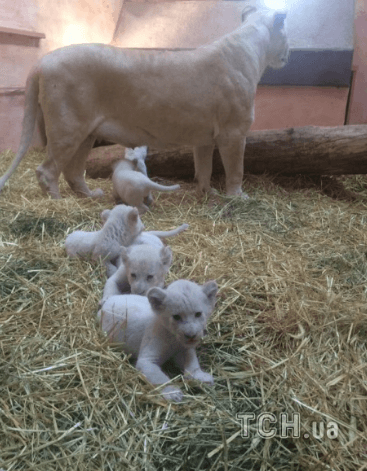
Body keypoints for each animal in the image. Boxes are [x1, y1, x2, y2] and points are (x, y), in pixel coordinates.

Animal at [0, 7, 288, 199]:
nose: (288, 54)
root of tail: (42, 61)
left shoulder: (204, 138)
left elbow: (204, 168)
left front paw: (208, 194)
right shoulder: (234, 132)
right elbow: (236, 169)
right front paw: (238, 198)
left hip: (86, 133)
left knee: (73, 172)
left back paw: (91, 195)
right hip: (67, 128)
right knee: (46, 170)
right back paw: (57, 201)